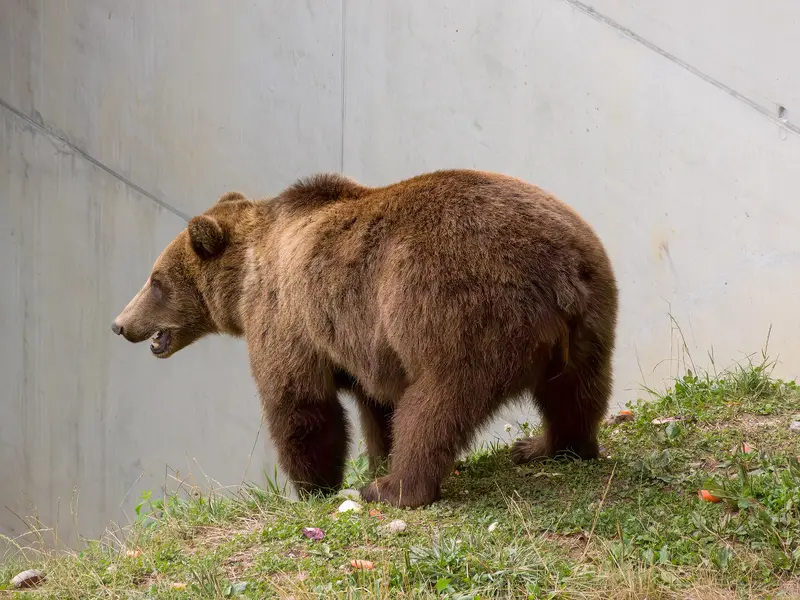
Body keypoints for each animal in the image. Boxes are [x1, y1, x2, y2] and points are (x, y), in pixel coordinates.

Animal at [111, 169, 618, 508]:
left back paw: (394, 489)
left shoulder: (286, 317)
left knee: (436, 405)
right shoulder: (364, 343)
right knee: (575, 391)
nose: (119, 324)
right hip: (591, 312)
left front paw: (315, 486)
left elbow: (299, 404)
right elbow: (378, 409)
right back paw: (551, 446)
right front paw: (373, 460)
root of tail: (557, 274)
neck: (245, 282)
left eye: (155, 281)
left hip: (456, 313)